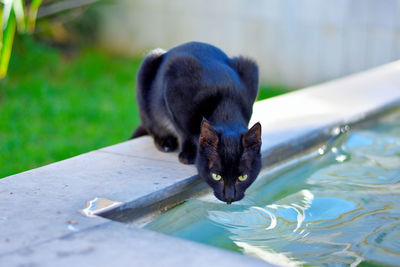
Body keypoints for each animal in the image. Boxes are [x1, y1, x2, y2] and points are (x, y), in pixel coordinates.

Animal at [132, 42, 262, 204]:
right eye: (216, 176)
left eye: (243, 177)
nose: (229, 198)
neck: (226, 105)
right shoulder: (174, 84)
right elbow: (182, 131)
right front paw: (188, 155)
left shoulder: (251, 71)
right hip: (148, 65)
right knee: (151, 124)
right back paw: (165, 142)